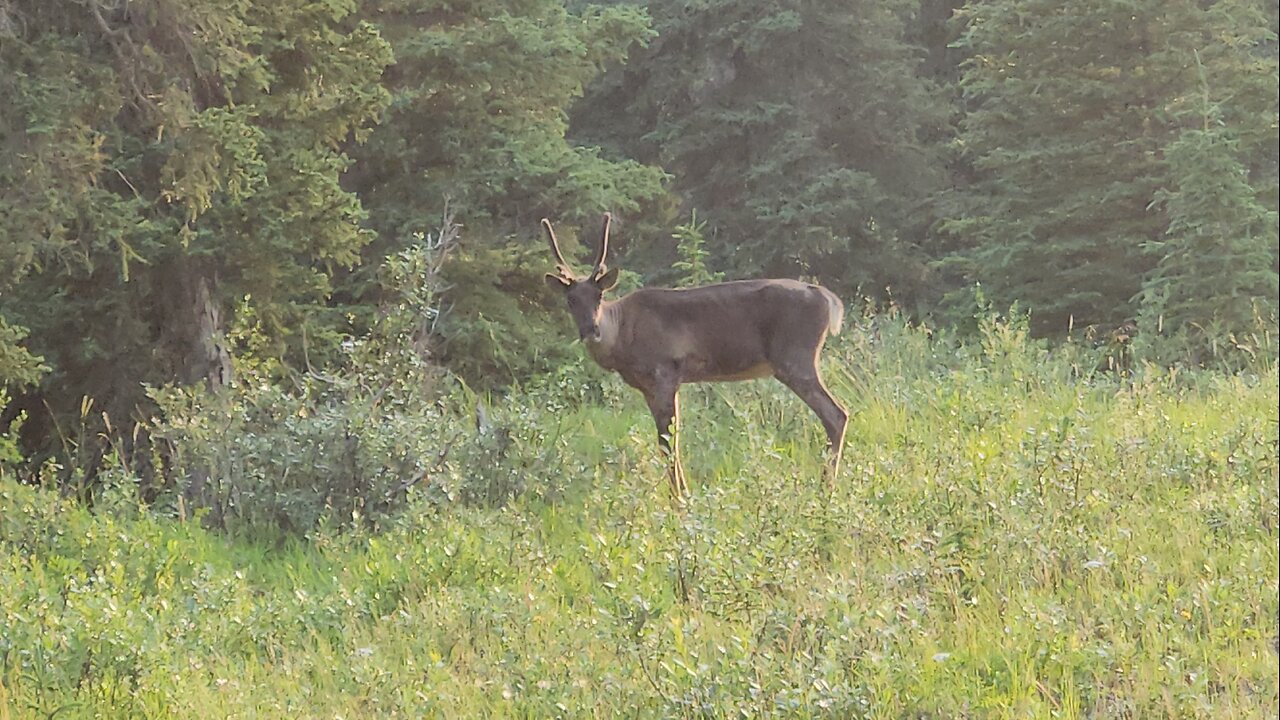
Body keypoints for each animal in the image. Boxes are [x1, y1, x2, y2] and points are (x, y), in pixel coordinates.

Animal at [542, 210, 849, 497]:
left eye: (599, 296)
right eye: (571, 300)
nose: (590, 330)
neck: (622, 336)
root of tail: (830, 300)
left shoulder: (665, 373)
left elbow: (668, 442)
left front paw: (680, 498)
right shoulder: (650, 388)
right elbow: (668, 441)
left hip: (795, 357)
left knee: (836, 414)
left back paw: (826, 488)